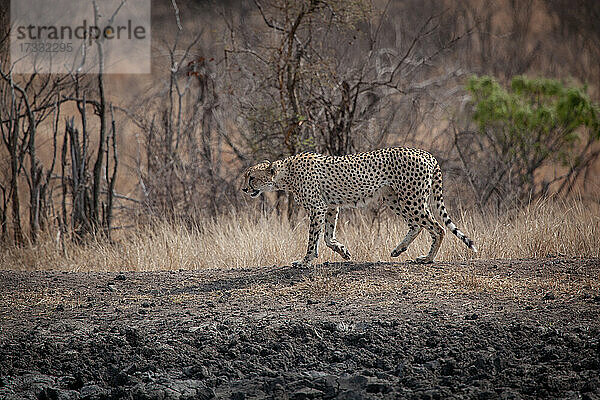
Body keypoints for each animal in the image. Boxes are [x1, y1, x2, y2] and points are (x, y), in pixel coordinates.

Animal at [241, 147, 476, 266]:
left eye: (251, 178)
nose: (243, 189)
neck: (285, 173)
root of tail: (427, 154)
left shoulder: (317, 207)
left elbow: (313, 238)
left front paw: (305, 261)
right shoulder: (330, 206)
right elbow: (327, 236)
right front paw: (343, 251)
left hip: (411, 198)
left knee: (438, 227)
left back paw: (428, 258)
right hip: (394, 198)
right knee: (417, 225)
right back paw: (399, 249)